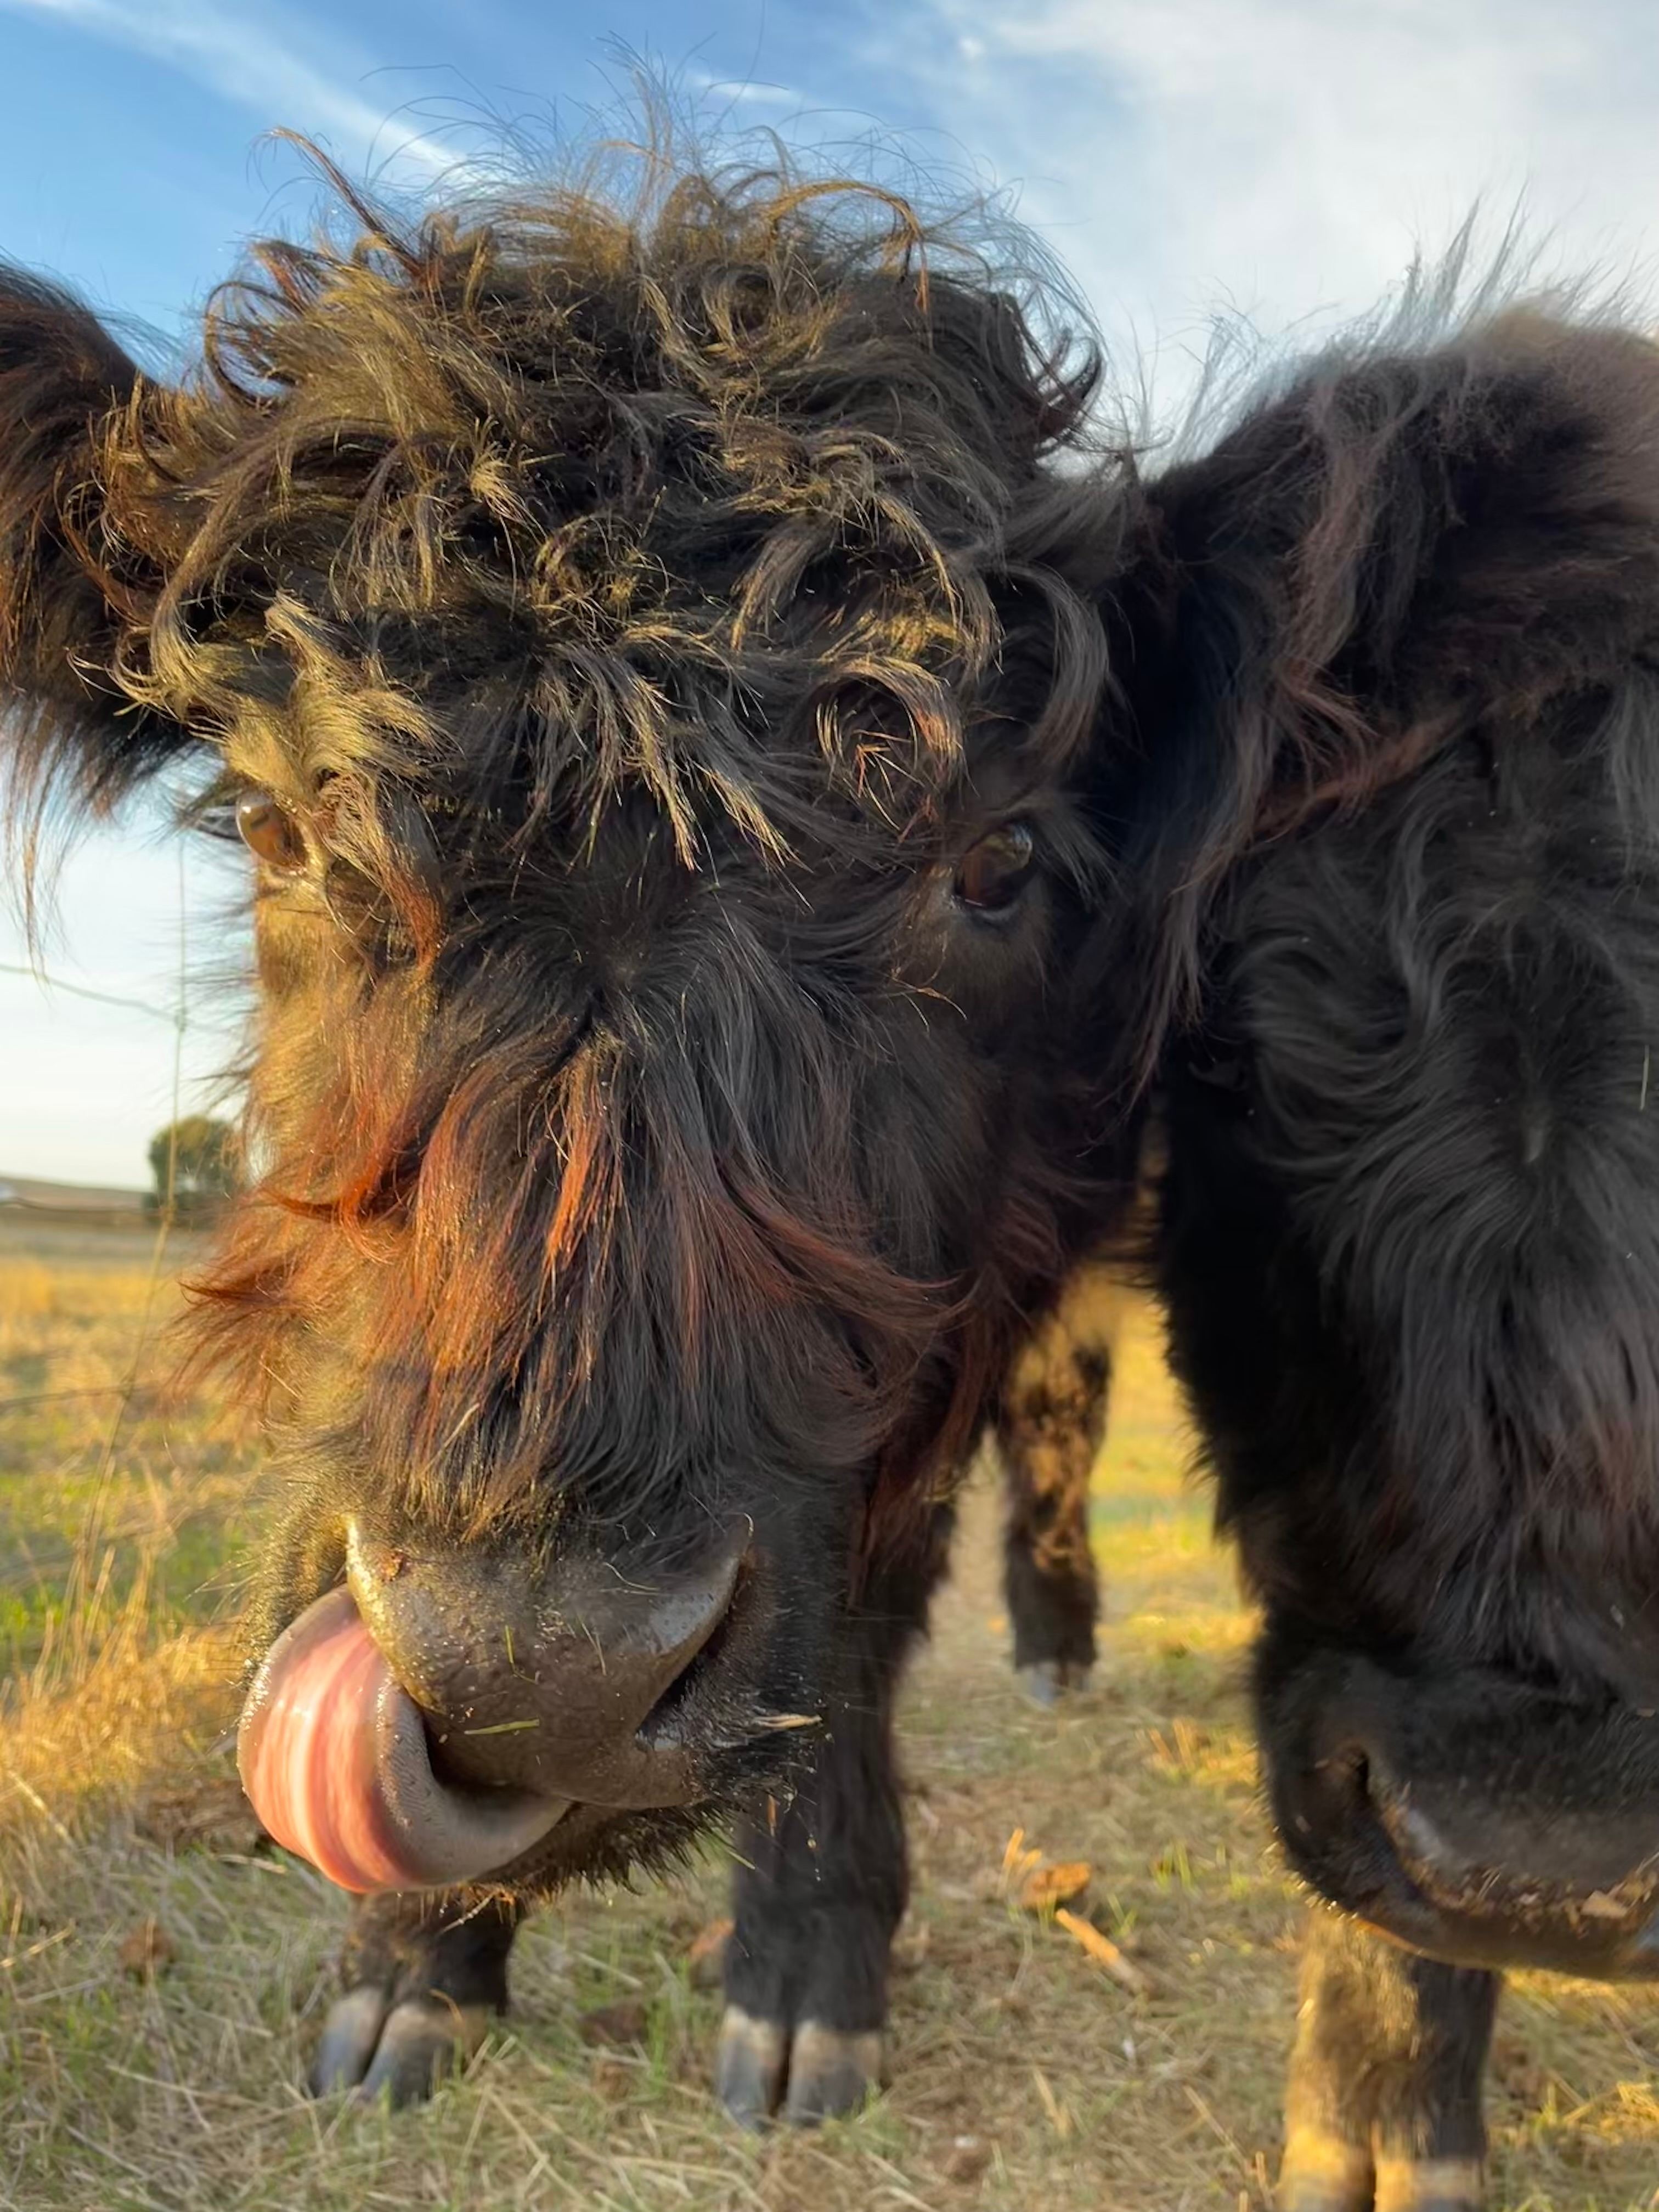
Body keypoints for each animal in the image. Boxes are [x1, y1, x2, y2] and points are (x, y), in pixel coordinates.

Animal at [0, 145, 1145, 2124]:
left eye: (993, 860)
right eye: (279, 825)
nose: (546, 1678)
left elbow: (869, 1610)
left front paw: (807, 1975)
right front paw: (405, 1971)